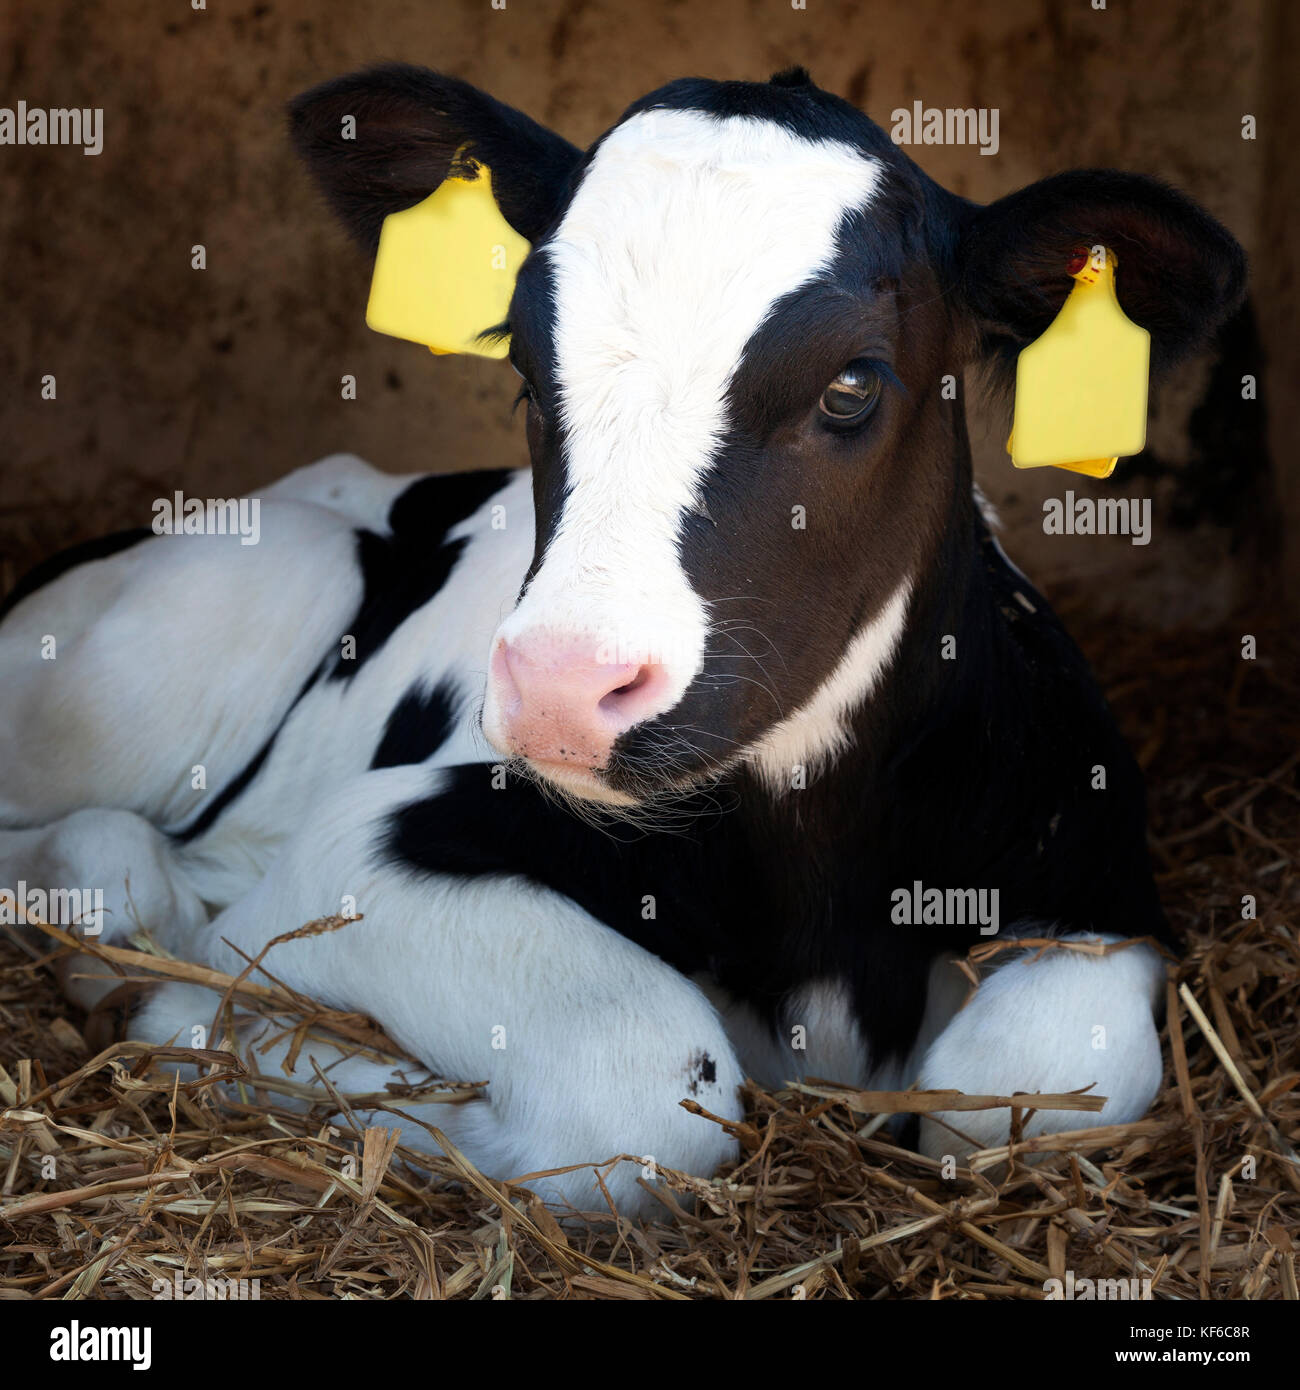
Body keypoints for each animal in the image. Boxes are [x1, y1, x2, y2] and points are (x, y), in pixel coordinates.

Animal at [0, 65, 1244, 1218]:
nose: (560, 685)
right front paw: (220, 1021)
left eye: (852, 383)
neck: (820, 906)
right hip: (237, 592)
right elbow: (643, 1086)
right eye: (521, 363)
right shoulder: (363, 844)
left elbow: (1017, 1090)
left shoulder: (1097, 885)